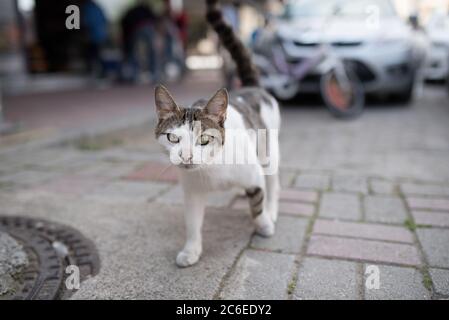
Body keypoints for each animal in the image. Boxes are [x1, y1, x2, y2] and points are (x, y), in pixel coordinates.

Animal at [156, 0, 278, 266]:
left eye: (204, 139)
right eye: (173, 138)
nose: (187, 157)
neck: (211, 168)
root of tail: (251, 87)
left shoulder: (253, 174)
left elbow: (257, 201)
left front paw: (264, 223)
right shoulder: (191, 192)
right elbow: (192, 223)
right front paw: (191, 250)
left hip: (269, 151)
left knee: (273, 183)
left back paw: (272, 210)